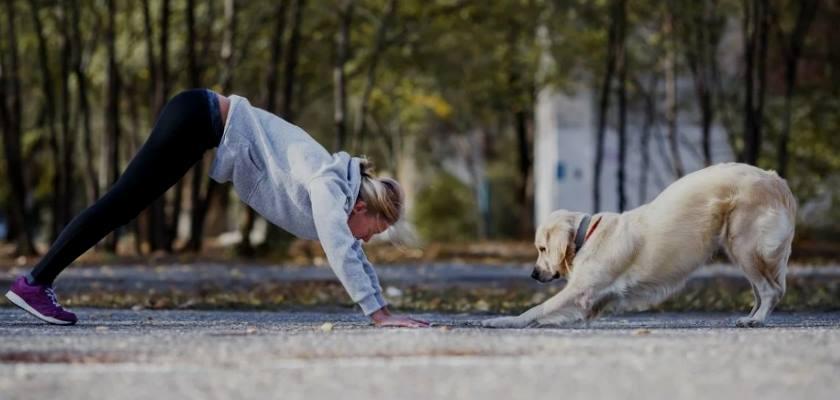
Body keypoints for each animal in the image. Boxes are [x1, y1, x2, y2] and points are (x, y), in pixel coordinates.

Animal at [482, 162, 796, 328]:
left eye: (542, 249)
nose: (534, 274)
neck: (588, 237)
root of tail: (774, 179)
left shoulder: (582, 292)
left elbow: (537, 309)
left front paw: (503, 321)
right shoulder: (590, 304)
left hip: (744, 244)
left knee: (771, 290)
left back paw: (756, 320)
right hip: (742, 250)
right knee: (762, 291)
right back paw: (751, 317)